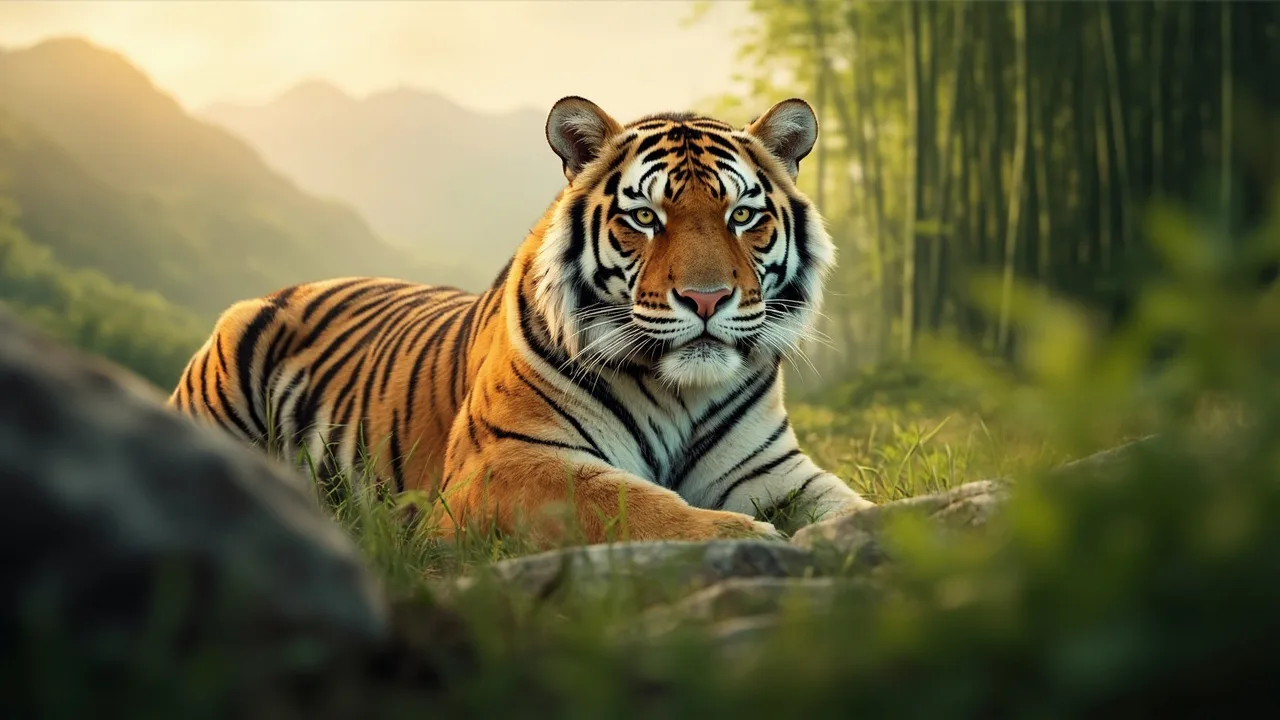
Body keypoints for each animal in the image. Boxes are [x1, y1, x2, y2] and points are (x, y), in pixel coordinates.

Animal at [168, 96, 875, 545]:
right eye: (645, 218)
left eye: (742, 216)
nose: (707, 300)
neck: (681, 391)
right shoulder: (506, 462)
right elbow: (620, 499)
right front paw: (743, 534)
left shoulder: (774, 471)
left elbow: (849, 504)